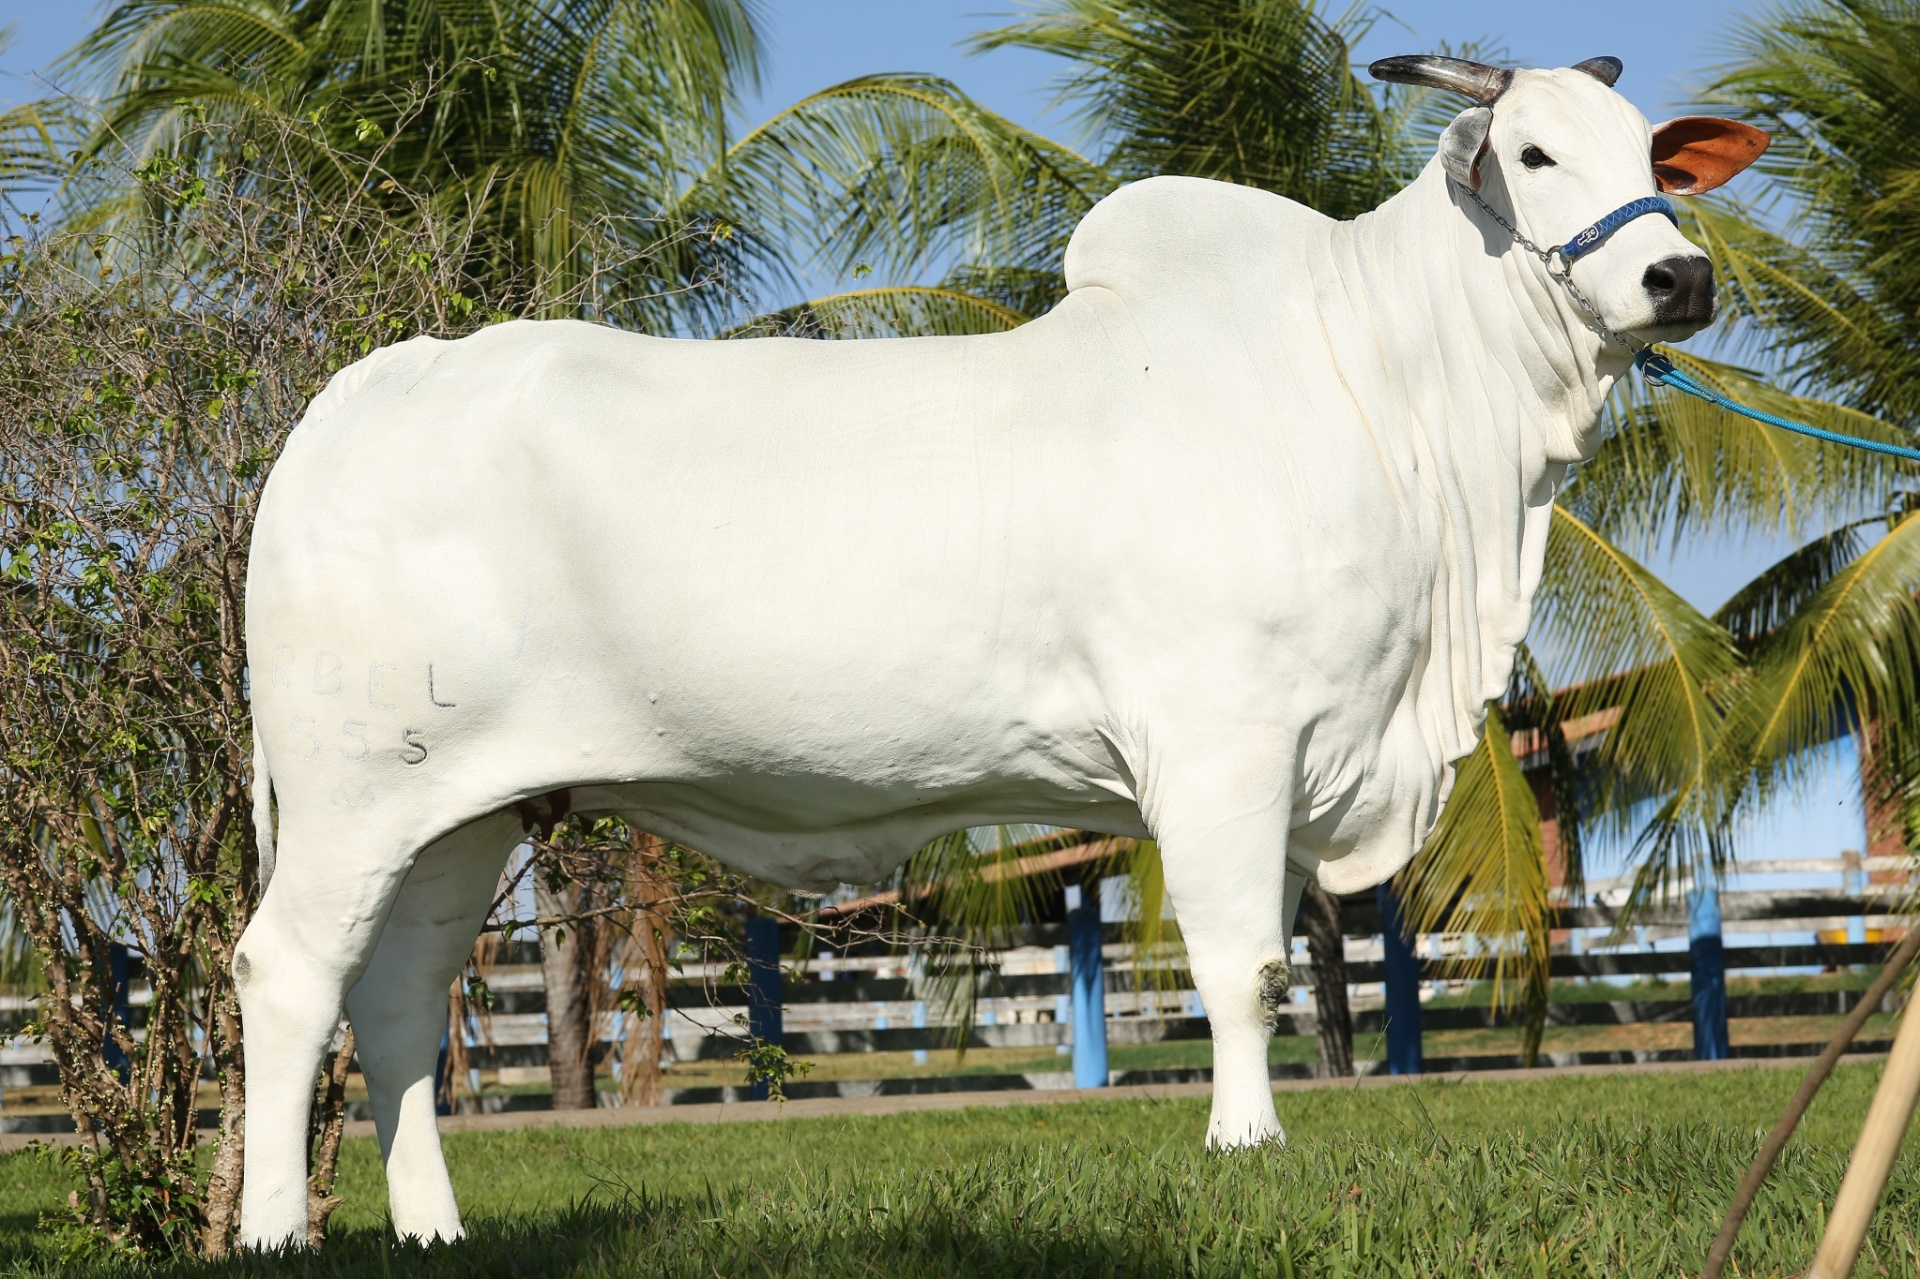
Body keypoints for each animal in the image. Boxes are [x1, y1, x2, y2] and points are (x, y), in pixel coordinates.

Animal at [233, 54, 1766, 1247]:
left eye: (1655, 156)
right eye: (1533, 151)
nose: (1678, 273)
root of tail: (361, 391)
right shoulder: (1223, 740)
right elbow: (1241, 965)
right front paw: (1245, 1148)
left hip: (465, 807)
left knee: (397, 999)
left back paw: (433, 1226)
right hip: (349, 790)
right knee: (288, 974)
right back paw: (270, 1228)